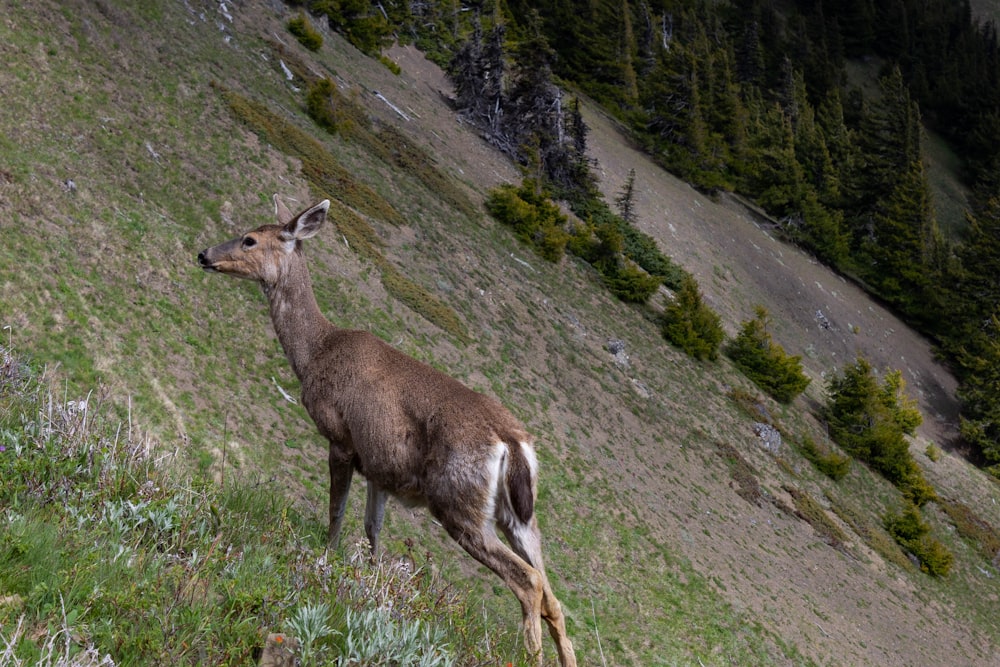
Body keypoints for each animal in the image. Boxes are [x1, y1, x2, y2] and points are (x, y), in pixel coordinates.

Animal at [198, 196, 576, 664]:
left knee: (528, 582)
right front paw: (374, 586)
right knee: (553, 596)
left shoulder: (340, 437)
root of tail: (511, 441)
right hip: (518, 514)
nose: (204, 254)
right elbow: (373, 530)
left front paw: (327, 559)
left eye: (250, 239)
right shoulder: (380, 466)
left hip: (459, 503)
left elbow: (337, 511)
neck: (315, 353)